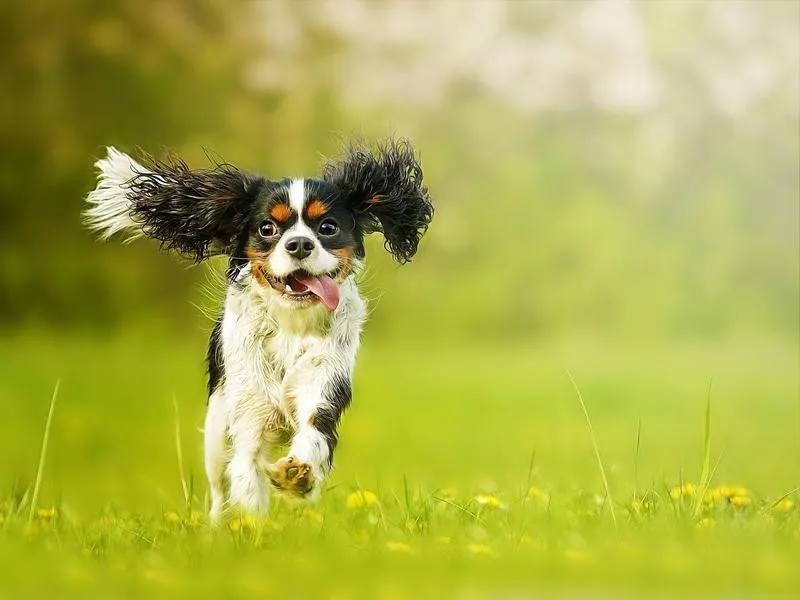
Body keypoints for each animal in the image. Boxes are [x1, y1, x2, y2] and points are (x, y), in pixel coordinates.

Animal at [85, 138, 434, 516]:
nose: (299, 244)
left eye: (327, 227)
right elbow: (247, 477)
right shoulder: (248, 413)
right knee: (219, 489)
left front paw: (298, 476)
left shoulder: (323, 383)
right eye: (268, 228)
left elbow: (313, 433)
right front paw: (252, 527)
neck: (290, 322)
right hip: (216, 430)